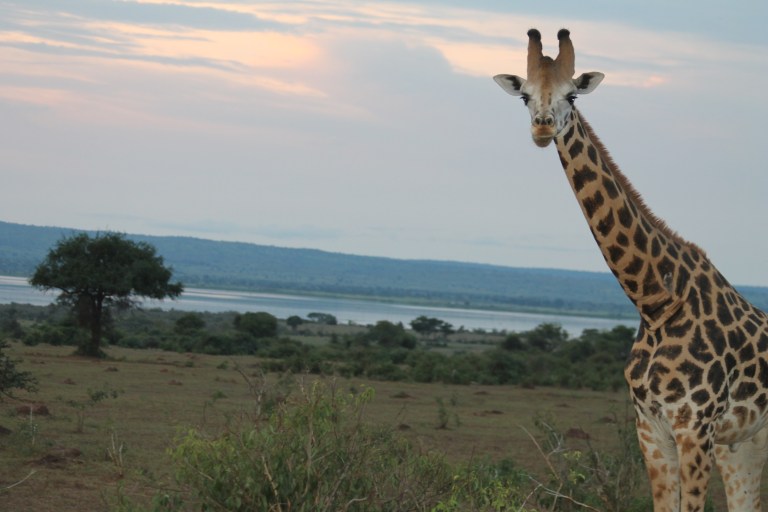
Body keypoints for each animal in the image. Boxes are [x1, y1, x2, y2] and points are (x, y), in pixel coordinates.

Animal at [493, 28, 768, 511]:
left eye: (572, 95)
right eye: (524, 95)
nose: (543, 127)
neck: (655, 303)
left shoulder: (695, 428)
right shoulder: (652, 430)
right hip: (744, 444)